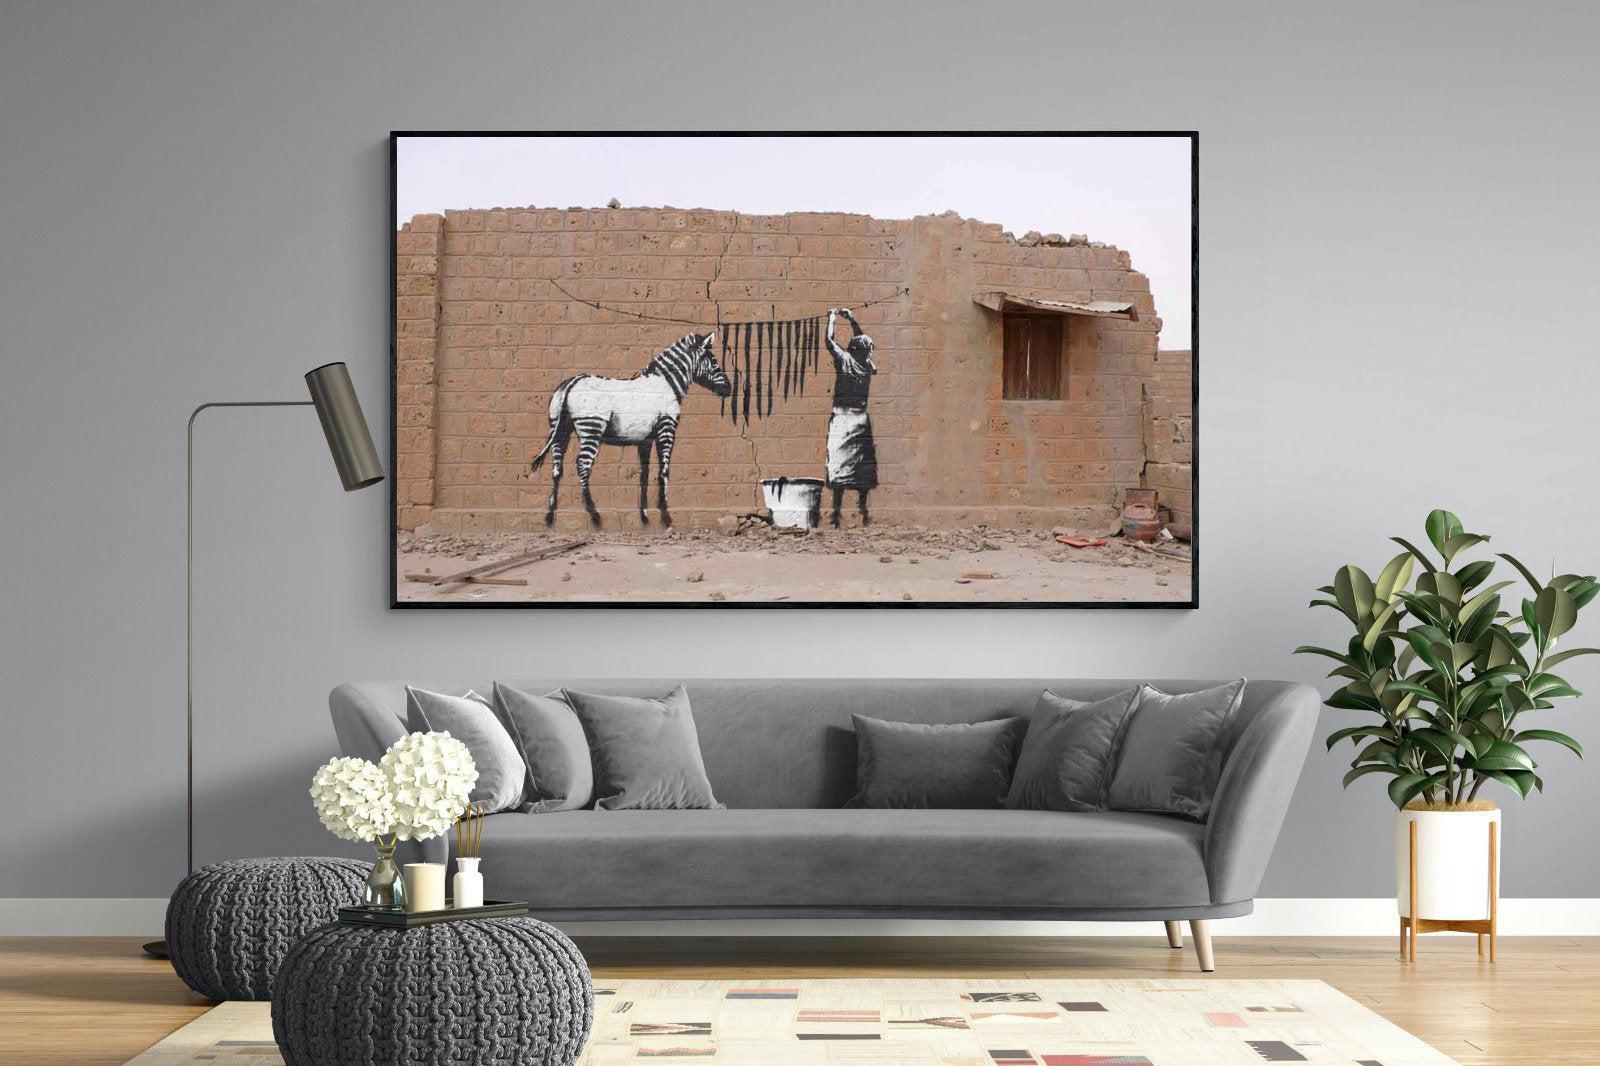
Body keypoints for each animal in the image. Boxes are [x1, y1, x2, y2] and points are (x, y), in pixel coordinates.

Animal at [528, 331, 731, 528]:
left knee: (557, 467)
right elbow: (664, 470)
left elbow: (644, 474)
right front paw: (665, 515)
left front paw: (645, 515)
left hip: (559, 429)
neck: (667, 384)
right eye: (714, 361)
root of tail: (573, 382)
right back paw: (594, 514)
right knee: (582, 466)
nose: (728, 389)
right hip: (591, 427)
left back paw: (550, 515)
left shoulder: (646, 439)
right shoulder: (667, 428)